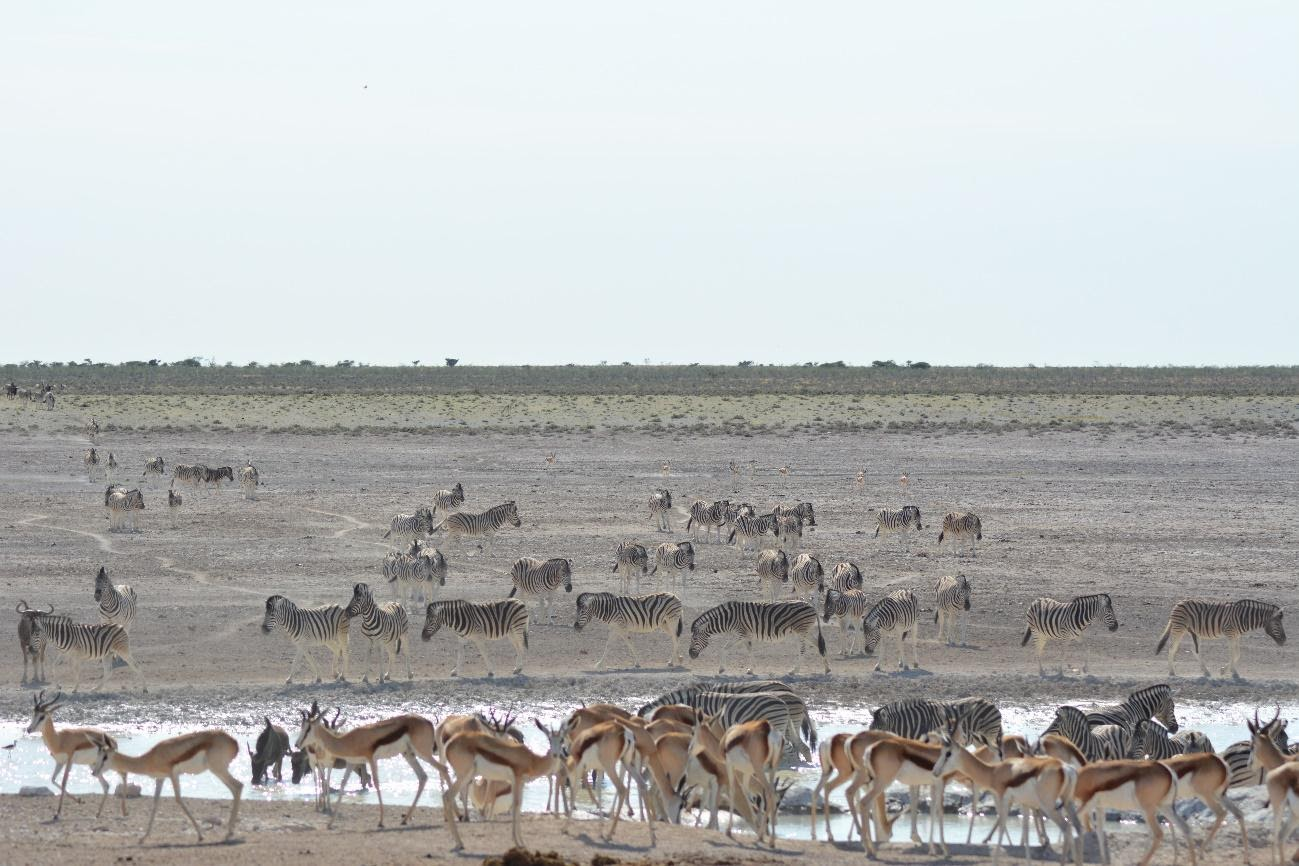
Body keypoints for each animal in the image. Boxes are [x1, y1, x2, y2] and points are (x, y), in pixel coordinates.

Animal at [685, 602, 826, 675]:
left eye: (694, 639)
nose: (690, 655)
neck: (728, 619)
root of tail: (811, 605)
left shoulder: (740, 634)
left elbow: (724, 648)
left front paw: (721, 669)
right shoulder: (746, 635)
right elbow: (749, 650)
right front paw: (751, 669)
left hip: (801, 631)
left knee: (803, 649)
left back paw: (794, 670)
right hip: (805, 631)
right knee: (819, 645)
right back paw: (827, 668)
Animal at [1153, 599, 1283, 680]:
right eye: (1277, 624)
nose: (1284, 640)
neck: (1243, 617)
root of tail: (1178, 603)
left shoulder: (1236, 636)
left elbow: (1237, 654)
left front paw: (1225, 671)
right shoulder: (1230, 633)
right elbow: (1233, 654)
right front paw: (1232, 672)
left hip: (1193, 631)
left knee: (1195, 650)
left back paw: (1206, 672)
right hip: (1179, 628)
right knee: (1172, 648)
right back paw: (1172, 672)